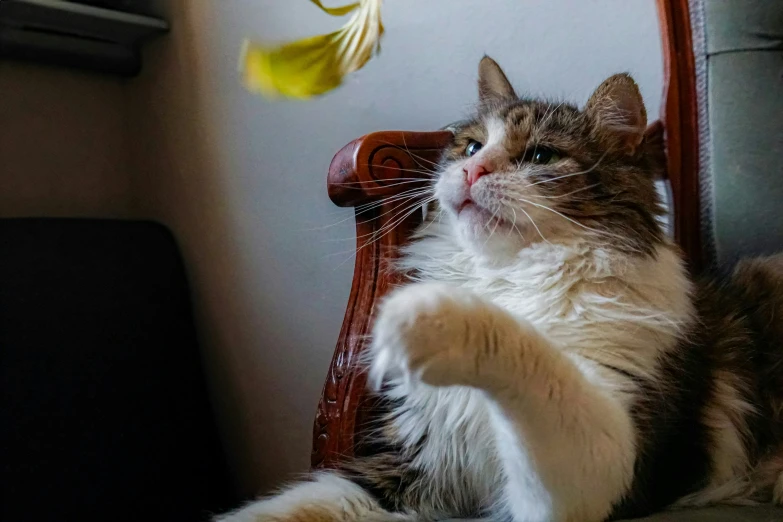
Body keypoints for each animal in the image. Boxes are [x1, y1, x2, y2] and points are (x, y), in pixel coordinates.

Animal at [214, 55, 783, 520]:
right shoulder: (409, 467)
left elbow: (537, 366)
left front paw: (435, 319)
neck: (509, 275)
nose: (470, 170)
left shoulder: (604, 469)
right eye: (470, 146)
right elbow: (296, 505)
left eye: (541, 157)